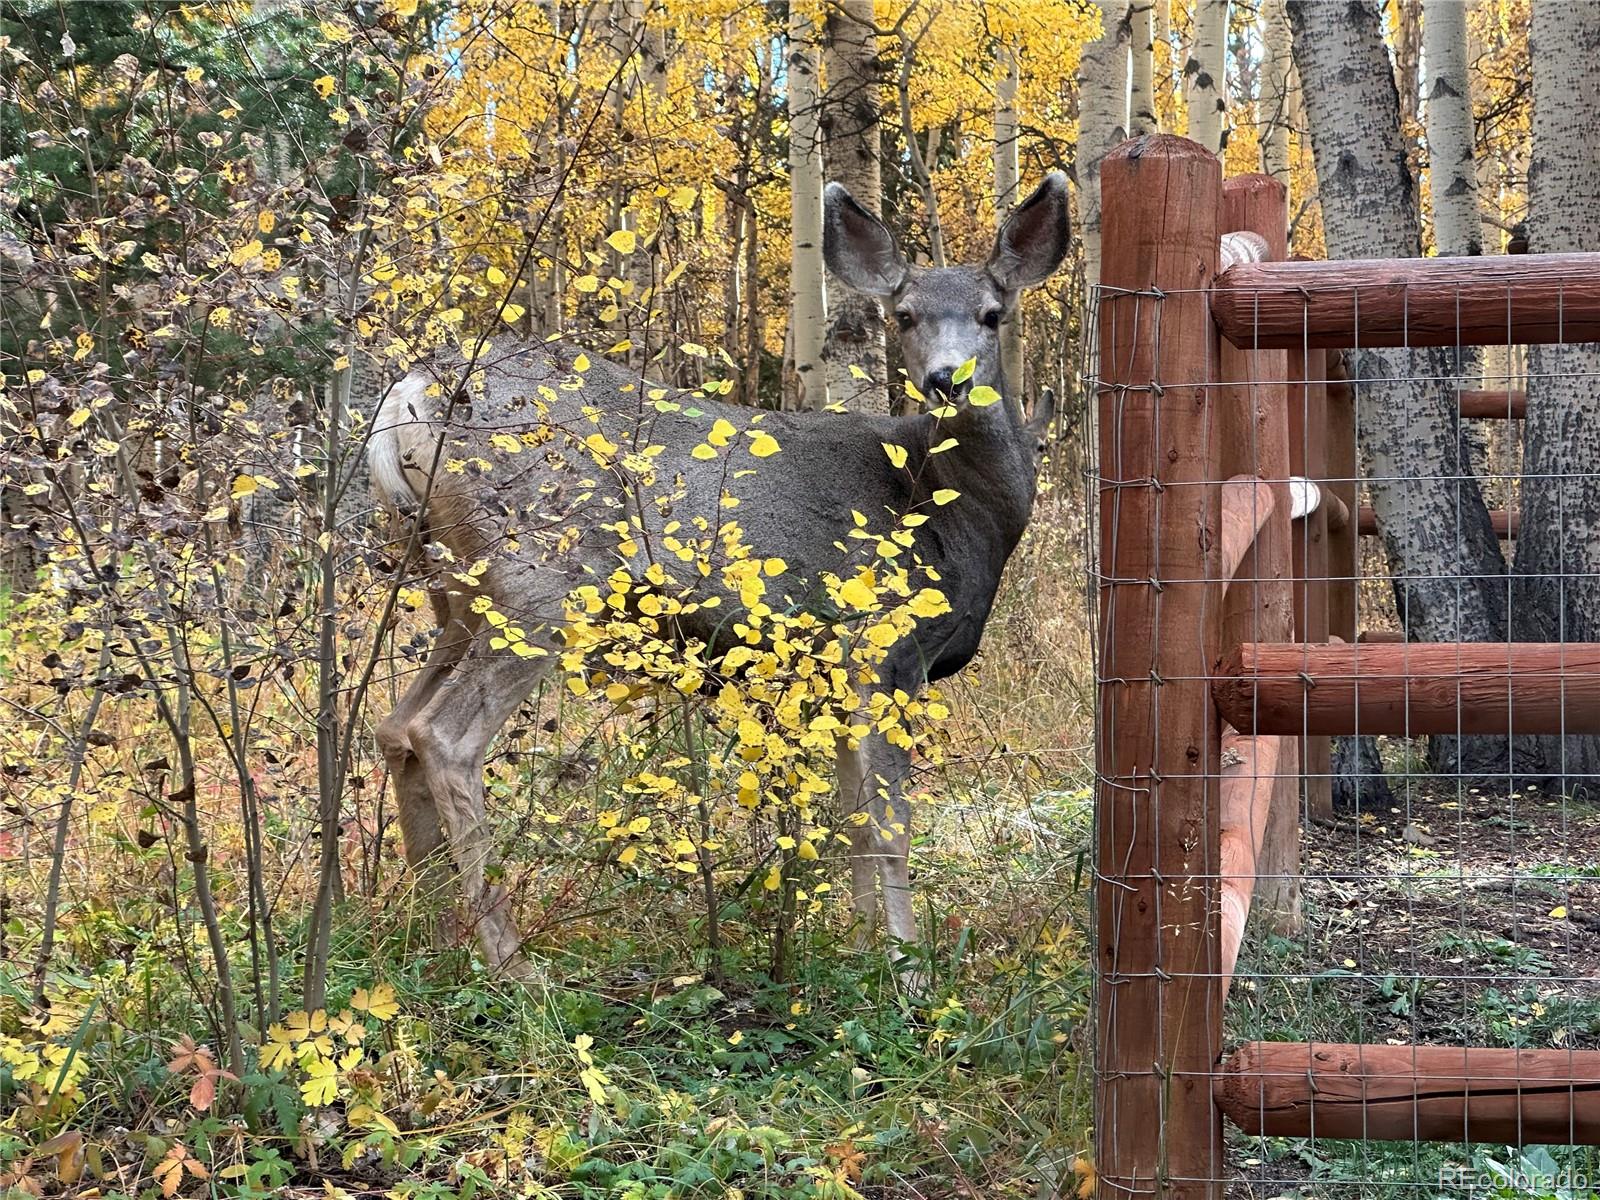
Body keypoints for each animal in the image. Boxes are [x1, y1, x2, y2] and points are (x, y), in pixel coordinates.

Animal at [368, 171, 1068, 979]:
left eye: (991, 314)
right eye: (905, 316)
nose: (946, 381)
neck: (954, 509)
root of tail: (405, 400)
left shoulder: (832, 670)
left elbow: (851, 822)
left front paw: (861, 951)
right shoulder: (881, 648)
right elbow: (887, 823)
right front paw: (905, 967)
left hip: (452, 591)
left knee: (395, 725)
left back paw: (429, 931)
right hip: (541, 579)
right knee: (443, 736)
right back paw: (512, 961)